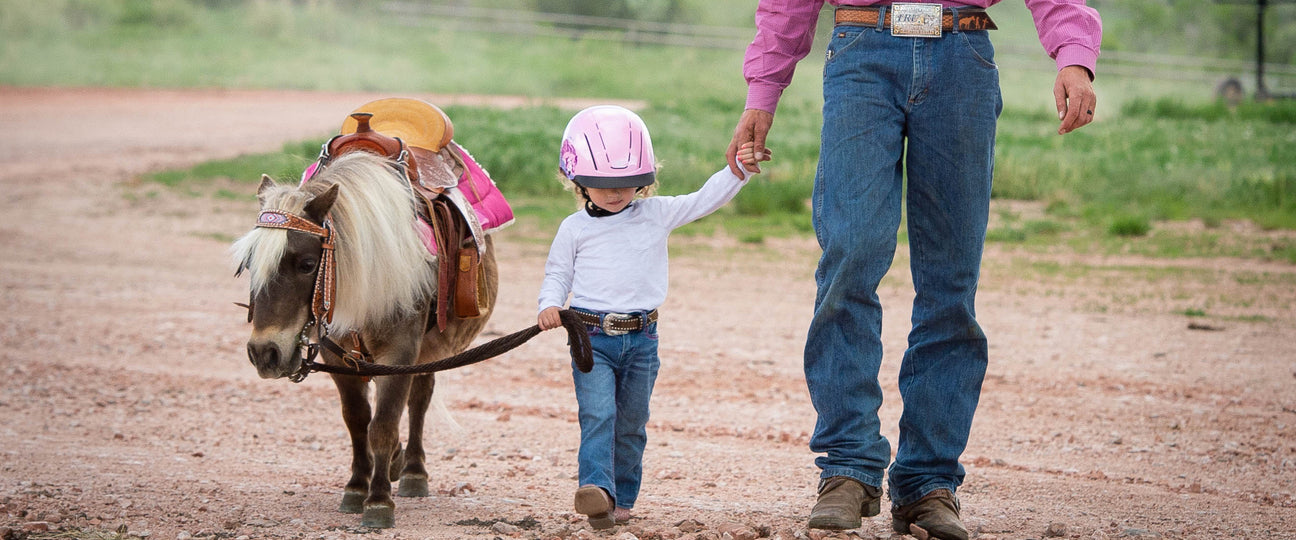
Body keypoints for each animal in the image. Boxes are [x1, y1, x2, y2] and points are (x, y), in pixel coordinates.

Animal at [229, 150, 498, 528]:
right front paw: (357, 488)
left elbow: (383, 424)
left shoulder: (400, 354)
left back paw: (413, 471)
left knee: (419, 400)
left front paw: (379, 501)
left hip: (431, 349)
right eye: (249, 264)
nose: (264, 353)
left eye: (307, 263)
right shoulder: (338, 357)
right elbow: (358, 421)